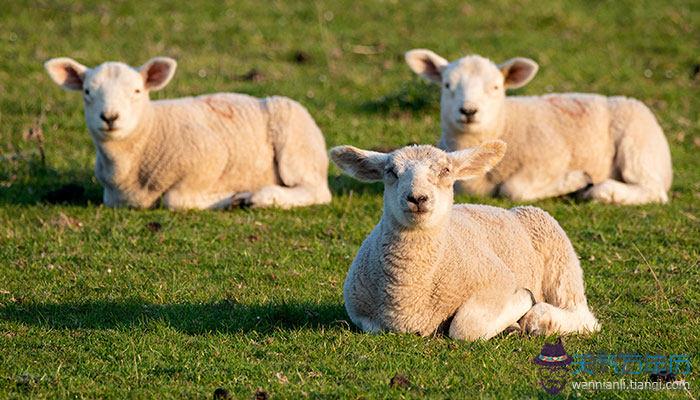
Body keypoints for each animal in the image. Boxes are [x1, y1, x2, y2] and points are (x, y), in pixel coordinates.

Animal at [45, 57, 332, 211]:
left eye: (136, 91)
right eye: (87, 92)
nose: (110, 117)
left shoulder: (212, 157)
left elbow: (175, 199)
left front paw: (231, 198)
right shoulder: (113, 198)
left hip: (296, 147)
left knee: (316, 190)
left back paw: (260, 197)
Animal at [330, 141, 600, 340]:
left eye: (446, 171)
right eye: (391, 172)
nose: (417, 198)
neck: (409, 293)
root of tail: (507, 210)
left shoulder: (498, 279)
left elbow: (464, 327)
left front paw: (523, 300)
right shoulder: (361, 312)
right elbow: (373, 326)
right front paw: (511, 323)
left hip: (558, 256)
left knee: (584, 316)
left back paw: (541, 318)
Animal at [404, 49, 672, 205]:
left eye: (495, 87)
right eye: (447, 85)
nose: (468, 111)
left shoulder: (554, 157)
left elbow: (513, 190)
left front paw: (577, 180)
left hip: (636, 147)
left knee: (653, 190)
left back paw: (601, 190)